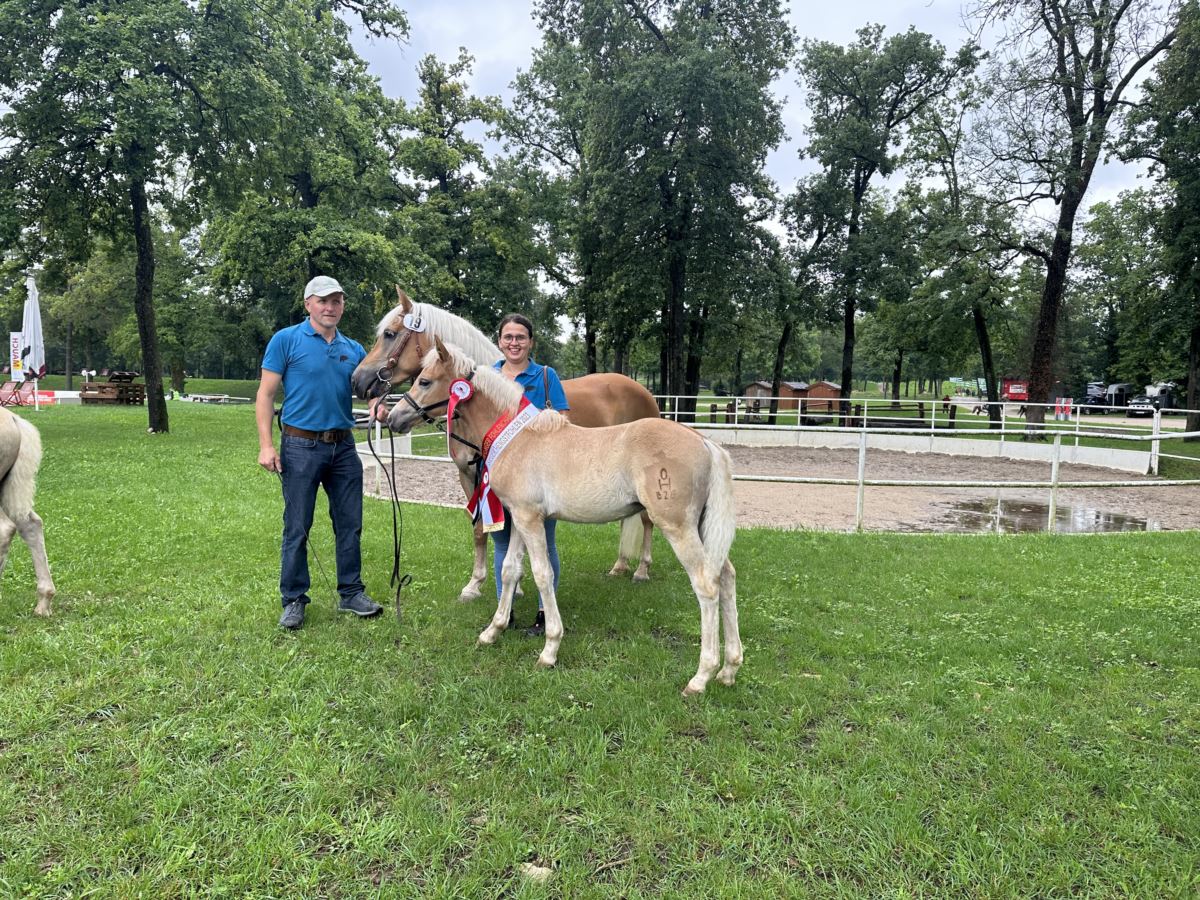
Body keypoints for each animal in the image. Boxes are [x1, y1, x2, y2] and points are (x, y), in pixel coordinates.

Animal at [350, 289, 662, 600]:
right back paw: (620, 564)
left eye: (389, 334)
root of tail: (641, 390)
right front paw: (479, 584)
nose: (358, 381)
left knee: (647, 520)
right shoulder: (469, 475)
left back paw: (641, 569)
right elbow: (481, 530)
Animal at [388, 338, 739, 696]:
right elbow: (510, 570)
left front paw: (549, 649)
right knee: (726, 577)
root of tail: (705, 443)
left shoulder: (530, 519)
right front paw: (493, 631)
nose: (392, 418)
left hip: (678, 526)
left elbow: (543, 574)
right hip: (701, 527)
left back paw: (701, 676)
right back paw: (729, 669)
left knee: (706, 585)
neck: (518, 437)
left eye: (425, 381)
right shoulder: (520, 516)